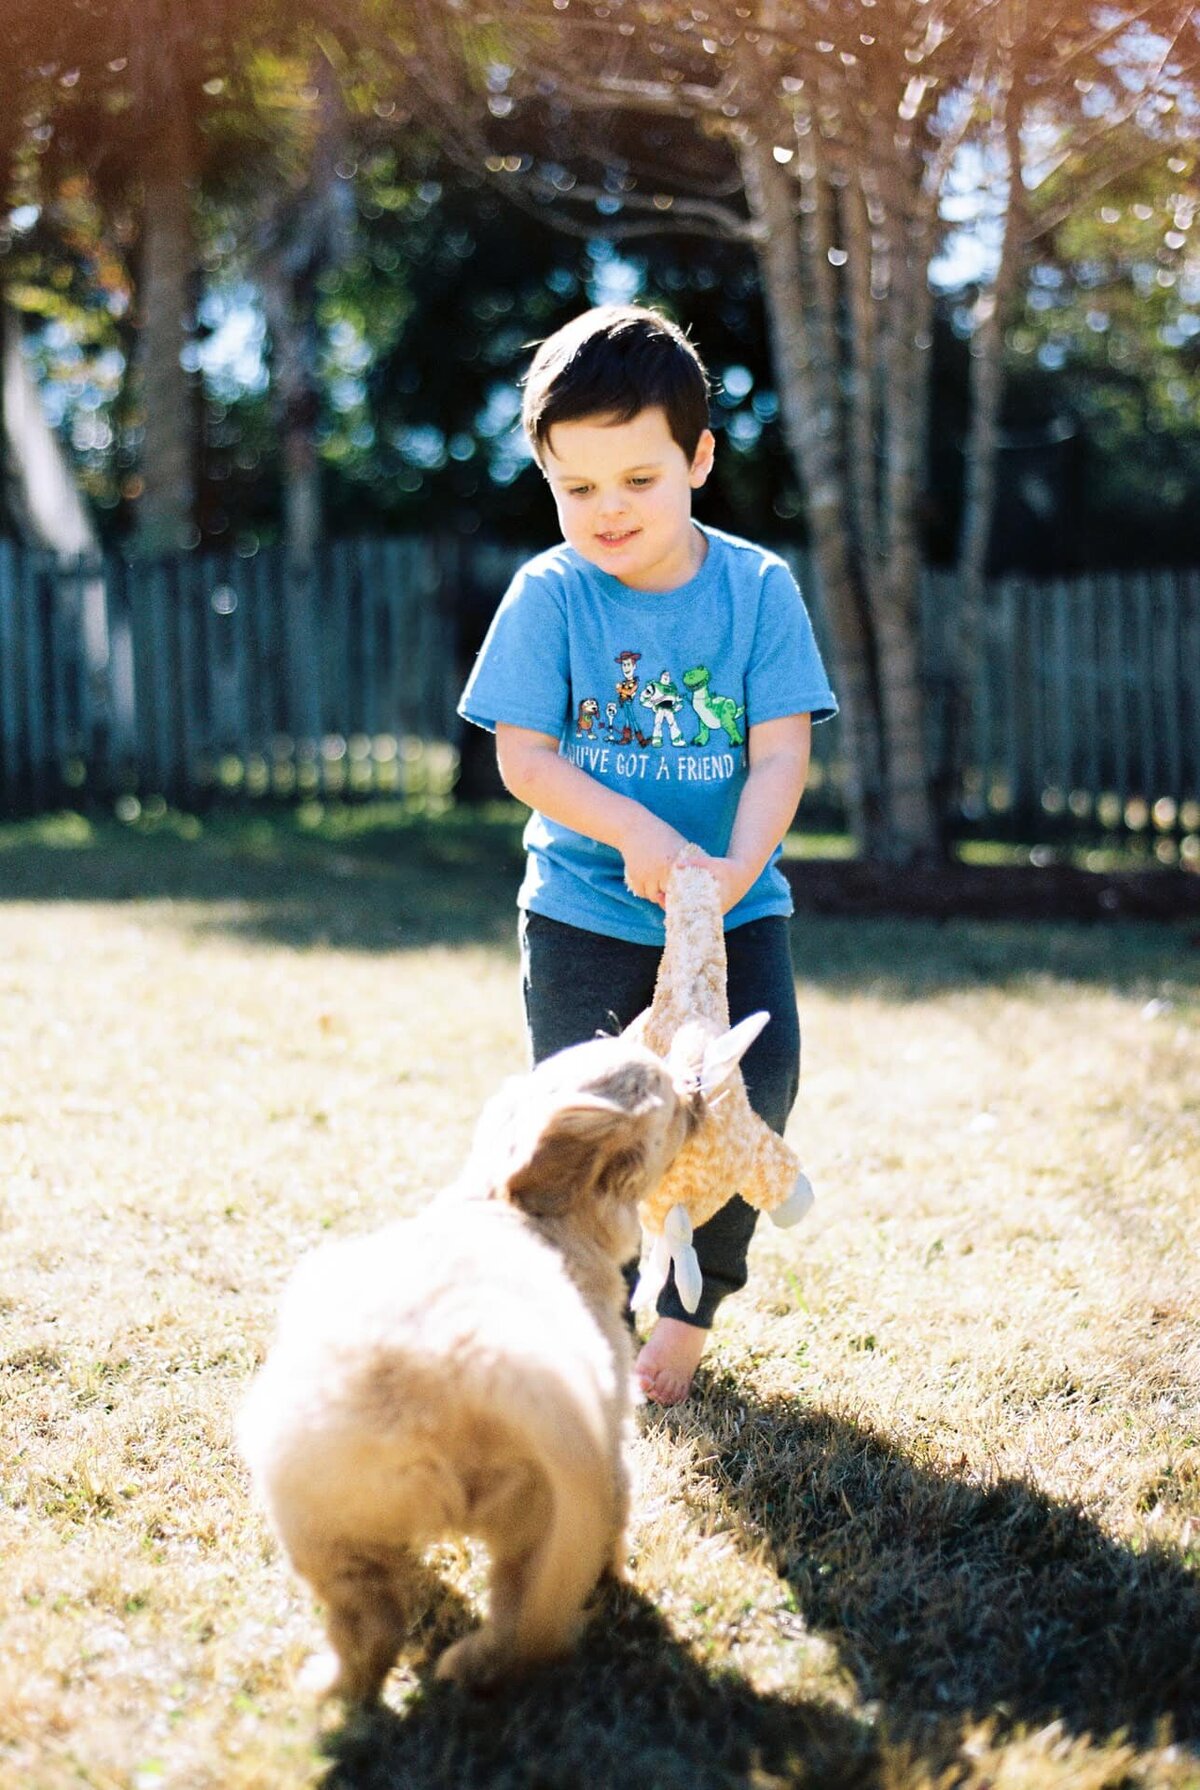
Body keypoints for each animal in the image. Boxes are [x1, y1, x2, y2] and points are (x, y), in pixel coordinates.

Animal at [240, 1016, 755, 1696]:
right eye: (671, 1100)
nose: (698, 1087)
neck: (516, 1207)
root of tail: (460, 1371)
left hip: (321, 1525)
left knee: (371, 1623)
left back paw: (340, 1683)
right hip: (544, 1518)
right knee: (523, 1609)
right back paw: (481, 1660)